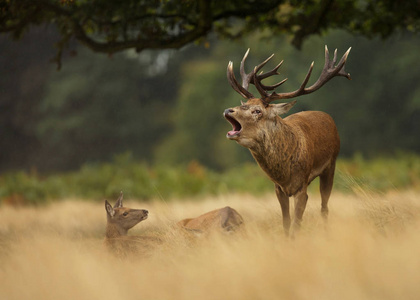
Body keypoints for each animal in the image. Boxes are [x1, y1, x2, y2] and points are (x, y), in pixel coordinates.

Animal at [223, 45, 352, 236]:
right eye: (243, 103)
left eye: (257, 111)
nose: (228, 110)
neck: (284, 172)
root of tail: (327, 116)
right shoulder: (278, 189)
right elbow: (286, 222)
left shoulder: (302, 186)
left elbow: (297, 224)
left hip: (331, 165)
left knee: (324, 206)